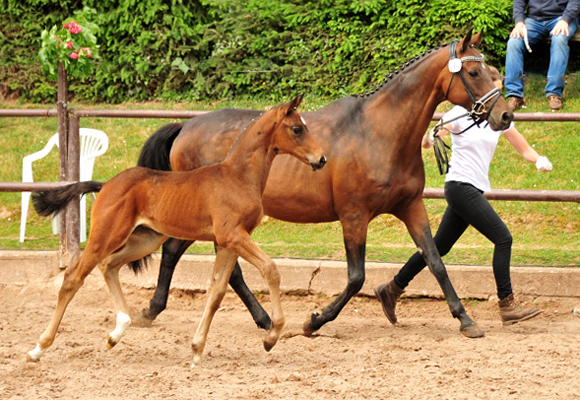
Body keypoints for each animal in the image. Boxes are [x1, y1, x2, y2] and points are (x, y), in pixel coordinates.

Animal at [27, 96, 326, 366]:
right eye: (297, 129)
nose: (321, 159)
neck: (238, 176)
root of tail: (106, 185)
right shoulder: (233, 235)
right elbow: (271, 269)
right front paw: (271, 336)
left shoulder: (229, 243)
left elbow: (217, 292)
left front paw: (196, 349)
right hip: (106, 234)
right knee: (73, 278)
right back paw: (38, 349)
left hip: (145, 239)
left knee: (109, 265)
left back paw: (117, 332)